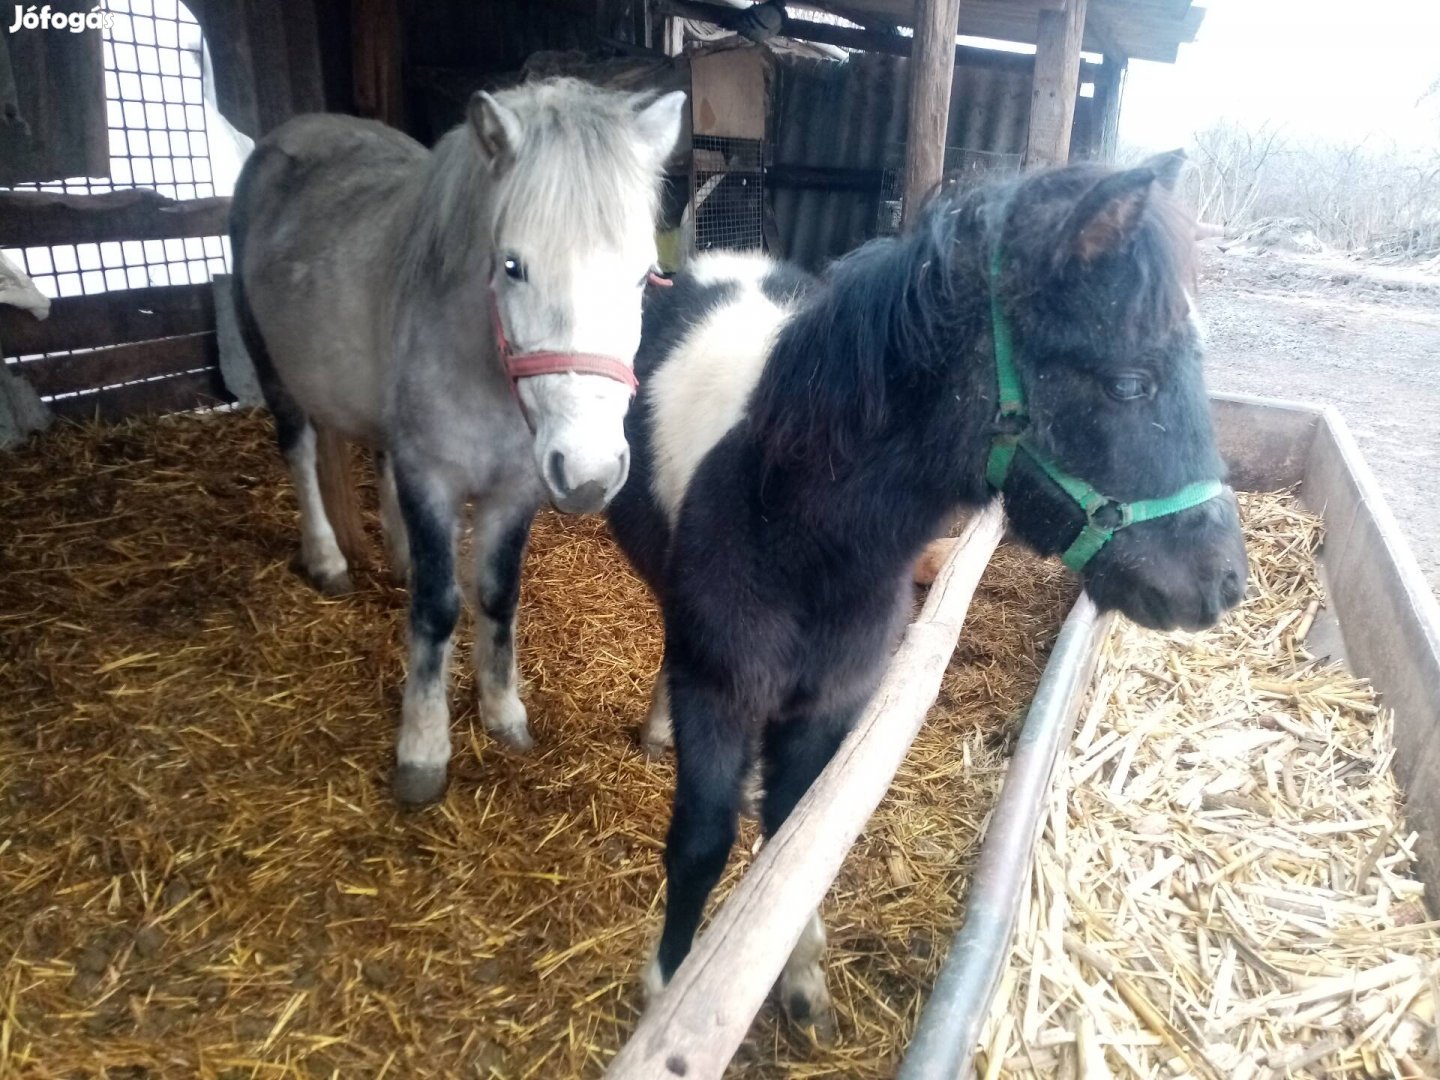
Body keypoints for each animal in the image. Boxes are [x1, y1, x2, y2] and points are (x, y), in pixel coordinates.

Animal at [607, 156, 1249, 1036]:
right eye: (1128, 382)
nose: (1223, 580)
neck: (795, 530)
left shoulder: (831, 704)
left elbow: (794, 839)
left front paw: (798, 977)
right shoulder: (722, 693)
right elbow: (703, 841)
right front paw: (666, 990)